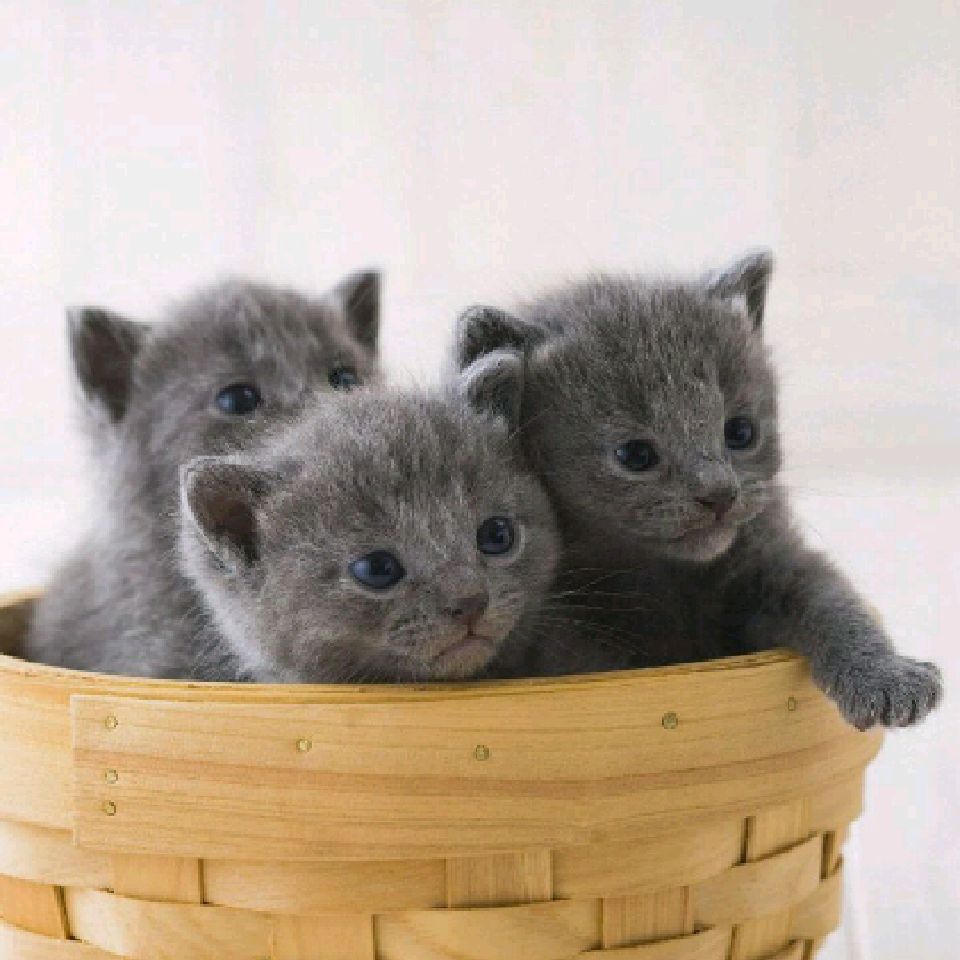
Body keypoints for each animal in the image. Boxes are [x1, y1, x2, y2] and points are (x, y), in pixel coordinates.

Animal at [455, 251, 943, 729]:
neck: (664, 575)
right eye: (635, 455)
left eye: (741, 432)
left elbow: (829, 600)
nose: (719, 493)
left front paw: (888, 676)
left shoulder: (768, 555)